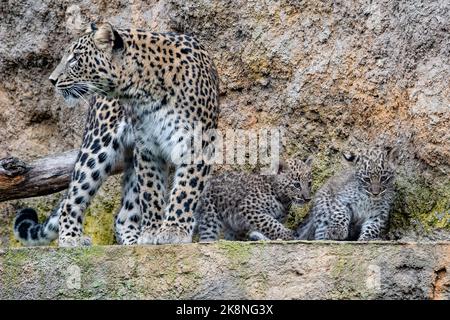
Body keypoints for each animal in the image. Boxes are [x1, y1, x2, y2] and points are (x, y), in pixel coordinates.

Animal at [14, 23, 218, 248]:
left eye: (75, 58)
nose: (52, 80)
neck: (143, 89)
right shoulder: (147, 148)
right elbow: (151, 192)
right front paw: (152, 232)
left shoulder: (196, 143)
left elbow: (185, 190)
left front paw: (173, 230)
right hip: (99, 143)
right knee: (73, 197)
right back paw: (71, 239)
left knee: (123, 215)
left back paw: (131, 240)